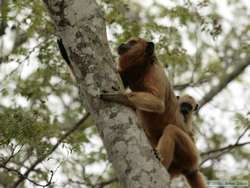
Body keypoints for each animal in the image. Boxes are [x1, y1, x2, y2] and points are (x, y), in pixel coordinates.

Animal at [100, 38, 206, 188]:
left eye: (132, 42)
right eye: (128, 41)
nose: (122, 44)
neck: (143, 67)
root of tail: (192, 168)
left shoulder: (156, 73)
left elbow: (158, 104)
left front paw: (120, 96)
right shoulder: (128, 73)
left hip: (192, 155)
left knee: (172, 130)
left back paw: (160, 159)